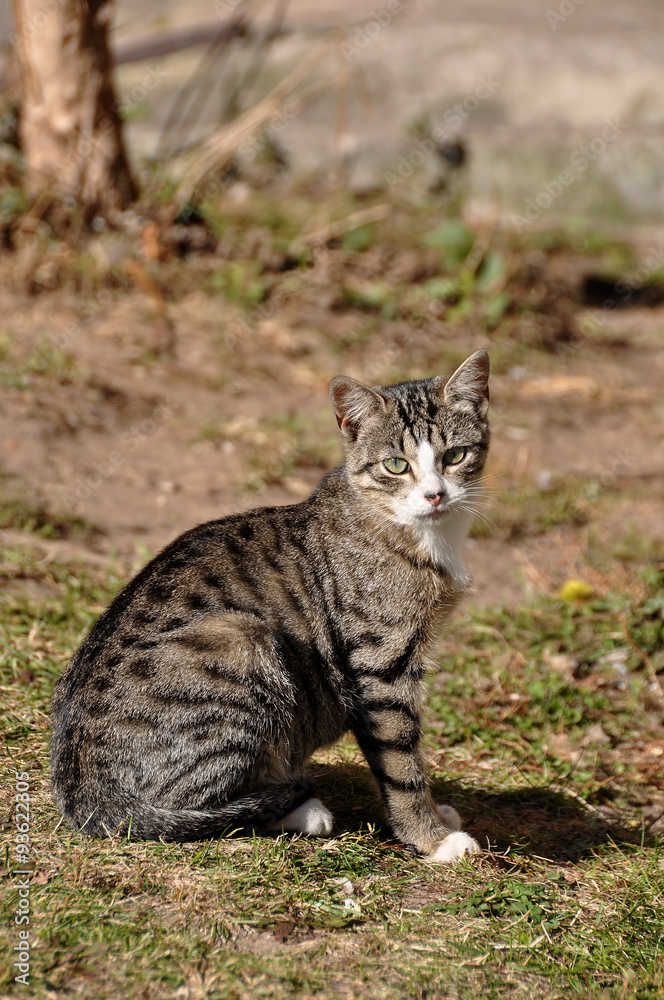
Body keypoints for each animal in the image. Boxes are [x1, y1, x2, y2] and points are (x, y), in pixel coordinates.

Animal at [49, 350, 490, 860]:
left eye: (455, 456)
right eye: (396, 465)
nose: (435, 494)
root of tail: (79, 787)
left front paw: (436, 820)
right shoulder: (381, 666)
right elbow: (401, 763)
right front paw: (430, 837)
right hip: (241, 638)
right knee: (194, 810)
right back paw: (301, 811)